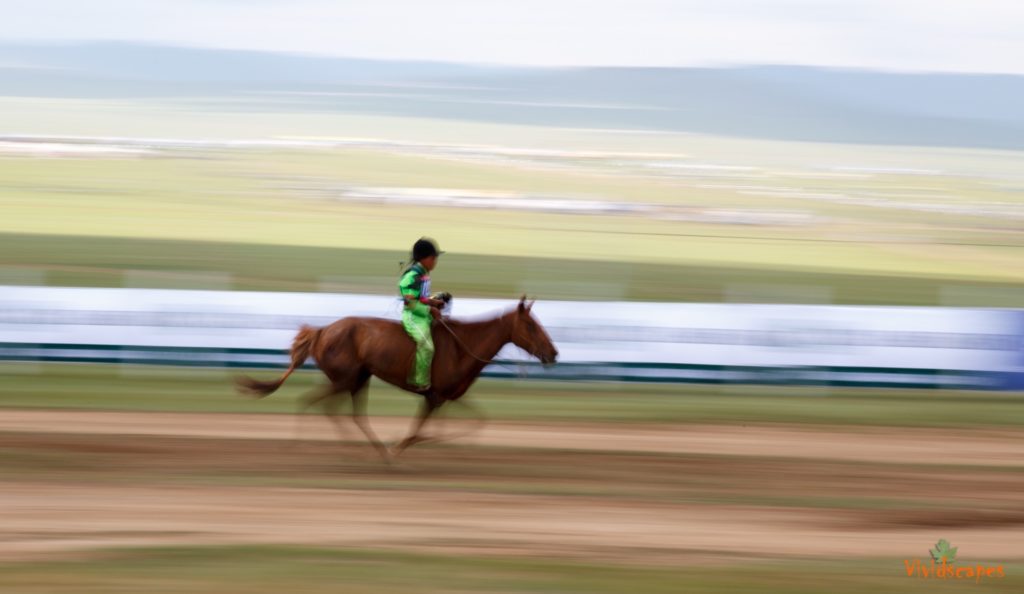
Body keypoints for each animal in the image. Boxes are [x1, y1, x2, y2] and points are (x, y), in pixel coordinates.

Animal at [235, 297, 557, 458]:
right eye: (531, 325)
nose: (553, 353)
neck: (463, 345)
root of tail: (323, 330)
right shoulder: (434, 396)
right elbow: (418, 430)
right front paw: (399, 445)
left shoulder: (447, 396)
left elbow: (477, 421)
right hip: (345, 378)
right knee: (313, 401)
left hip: (359, 378)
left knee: (348, 413)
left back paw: (365, 447)